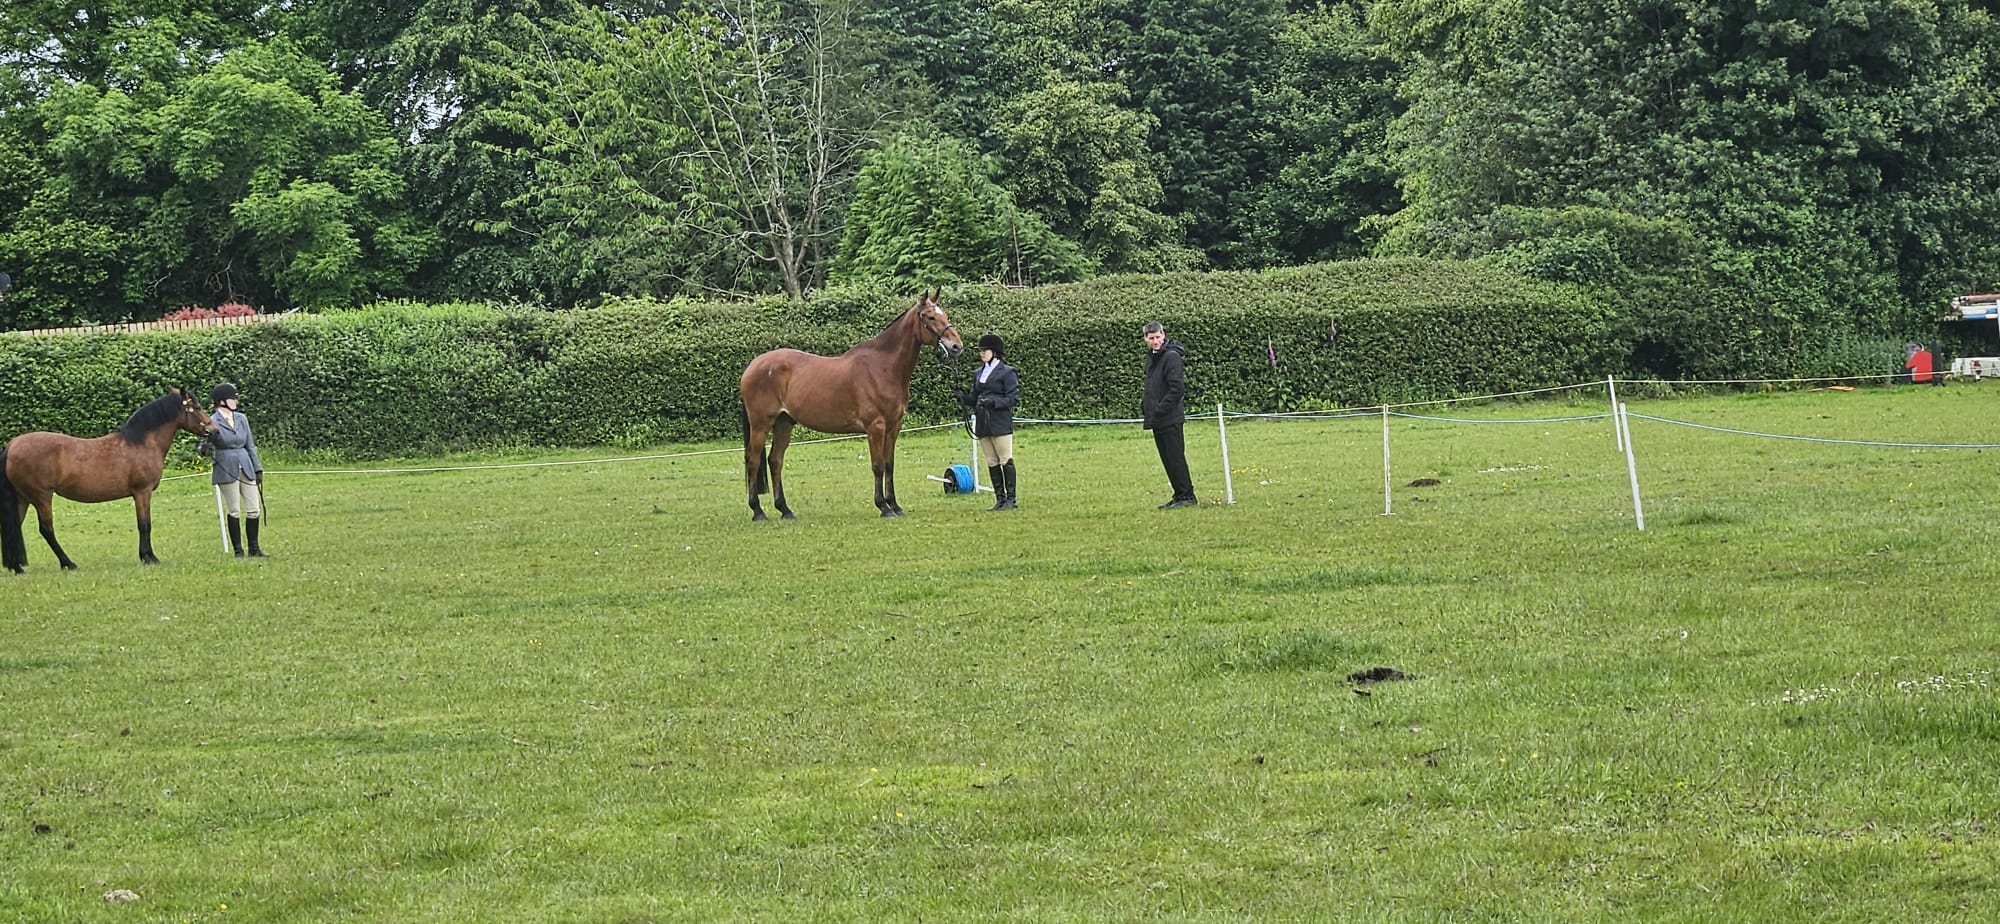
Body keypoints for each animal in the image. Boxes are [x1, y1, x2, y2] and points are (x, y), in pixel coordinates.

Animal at [1, 384, 219, 572]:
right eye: (197, 408)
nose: (214, 431)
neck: (141, 442)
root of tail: (12, 445)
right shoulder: (142, 492)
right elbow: (144, 525)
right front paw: (149, 557)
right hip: (41, 497)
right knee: (46, 530)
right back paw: (68, 563)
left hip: (23, 498)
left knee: (13, 529)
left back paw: (17, 567)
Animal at [752, 290, 968, 520]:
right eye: (930, 317)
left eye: (944, 315)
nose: (956, 346)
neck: (883, 368)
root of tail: (753, 366)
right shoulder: (875, 427)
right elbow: (878, 466)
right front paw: (883, 507)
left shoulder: (894, 427)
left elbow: (889, 465)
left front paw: (895, 505)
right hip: (760, 426)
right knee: (753, 461)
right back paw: (757, 511)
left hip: (783, 424)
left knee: (775, 461)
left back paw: (785, 510)